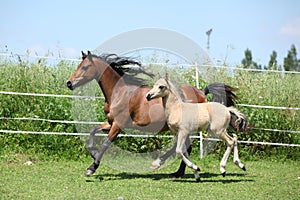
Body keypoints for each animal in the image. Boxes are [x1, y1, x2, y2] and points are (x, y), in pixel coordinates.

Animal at [66, 50, 239, 177]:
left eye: (85, 67)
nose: (69, 83)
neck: (119, 93)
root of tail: (201, 93)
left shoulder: (118, 125)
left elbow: (106, 144)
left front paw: (92, 167)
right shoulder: (110, 122)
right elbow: (92, 131)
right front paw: (93, 153)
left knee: (183, 147)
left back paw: (163, 165)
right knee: (185, 147)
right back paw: (177, 172)